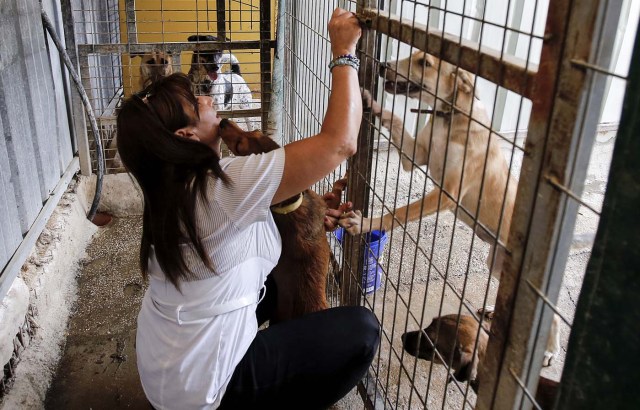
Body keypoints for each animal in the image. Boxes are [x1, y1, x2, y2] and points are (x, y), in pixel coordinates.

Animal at [342, 51, 556, 366]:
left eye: (425, 63)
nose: (382, 67)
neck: (450, 117)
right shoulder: (416, 155)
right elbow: (395, 119)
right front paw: (372, 102)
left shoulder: (447, 193)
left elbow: (401, 212)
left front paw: (367, 223)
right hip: (496, 264)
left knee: (551, 320)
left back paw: (550, 351)